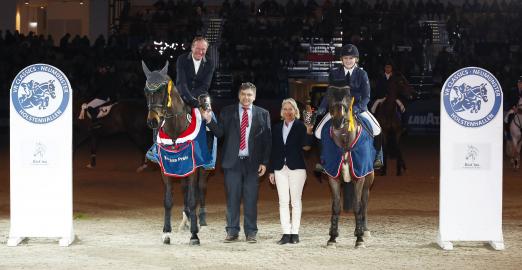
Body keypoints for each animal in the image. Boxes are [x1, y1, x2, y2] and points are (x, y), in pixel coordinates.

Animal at [142, 60, 209, 246]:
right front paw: (166, 232)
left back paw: (201, 222)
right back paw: (186, 220)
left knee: (201, 189)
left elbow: (193, 200)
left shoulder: (193, 168)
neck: (175, 131)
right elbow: (168, 201)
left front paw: (194, 235)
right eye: (146, 91)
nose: (153, 121)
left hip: (204, 167)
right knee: (185, 189)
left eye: (163, 90)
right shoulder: (166, 169)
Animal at [324, 85, 374, 248]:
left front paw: (359, 239)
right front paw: (332, 237)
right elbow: (336, 206)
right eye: (330, 98)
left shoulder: (359, 177)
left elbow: (357, 206)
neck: (345, 143)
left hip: (368, 179)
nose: (338, 121)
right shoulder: (333, 177)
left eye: (348, 98)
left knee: (364, 202)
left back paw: (364, 230)